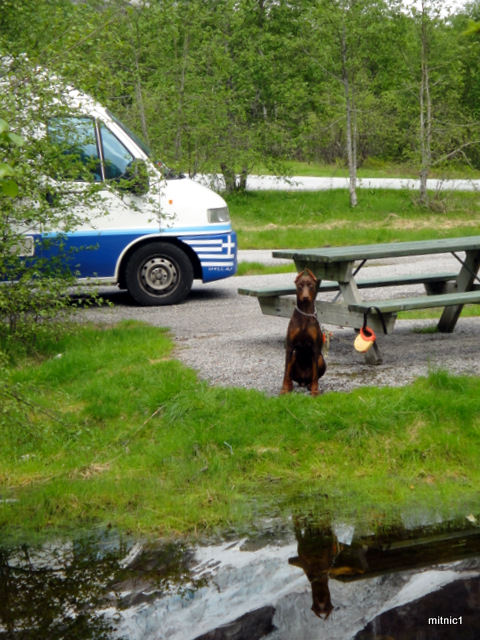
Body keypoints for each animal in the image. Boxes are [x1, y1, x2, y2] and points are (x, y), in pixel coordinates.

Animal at [282, 266, 326, 396]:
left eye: (310, 285)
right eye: (300, 285)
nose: (305, 297)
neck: (305, 314)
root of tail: (302, 380)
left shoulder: (315, 349)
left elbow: (315, 374)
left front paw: (315, 391)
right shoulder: (289, 347)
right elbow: (285, 372)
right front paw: (284, 389)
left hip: (321, 359)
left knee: (314, 376)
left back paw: (310, 385)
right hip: (293, 357)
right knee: (289, 374)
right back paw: (290, 386)